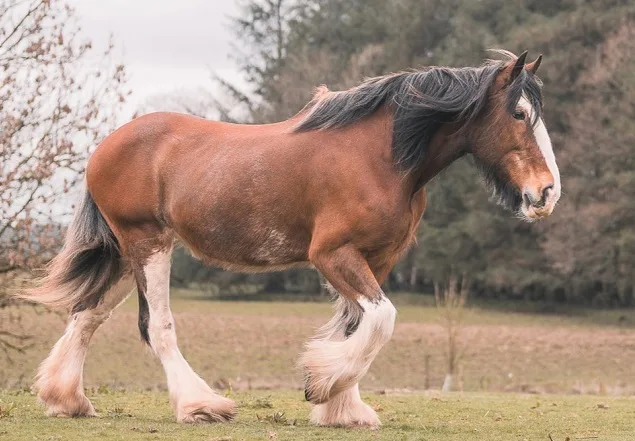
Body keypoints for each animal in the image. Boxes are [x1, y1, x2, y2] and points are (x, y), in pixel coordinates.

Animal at [21, 50, 560, 426]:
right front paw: (322, 386)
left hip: (124, 253)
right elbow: (381, 320)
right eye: (518, 115)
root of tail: (104, 147)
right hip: (147, 244)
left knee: (86, 315)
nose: (547, 192)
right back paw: (199, 405)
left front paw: (342, 408)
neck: (380, 155)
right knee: (157, 326)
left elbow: (357, 326)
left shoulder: (377, 259)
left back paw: (66, 400)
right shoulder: (332, 255)